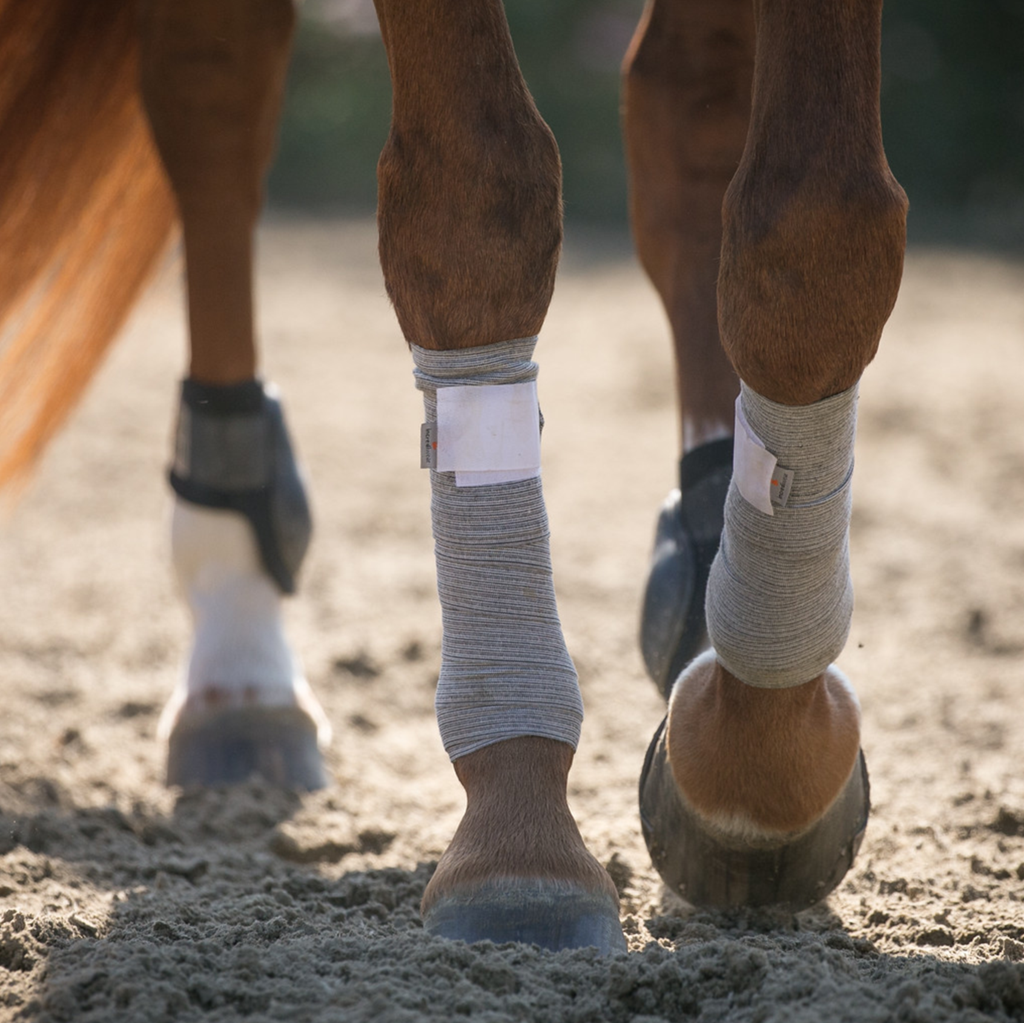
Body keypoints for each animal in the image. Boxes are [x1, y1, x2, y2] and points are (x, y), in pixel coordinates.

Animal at [0, 0, 907, 954]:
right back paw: (240, 665)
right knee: (212, 93)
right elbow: (475, 194)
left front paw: (753, 768)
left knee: (686, 106)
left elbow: (812, 226)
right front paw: (522, 837)